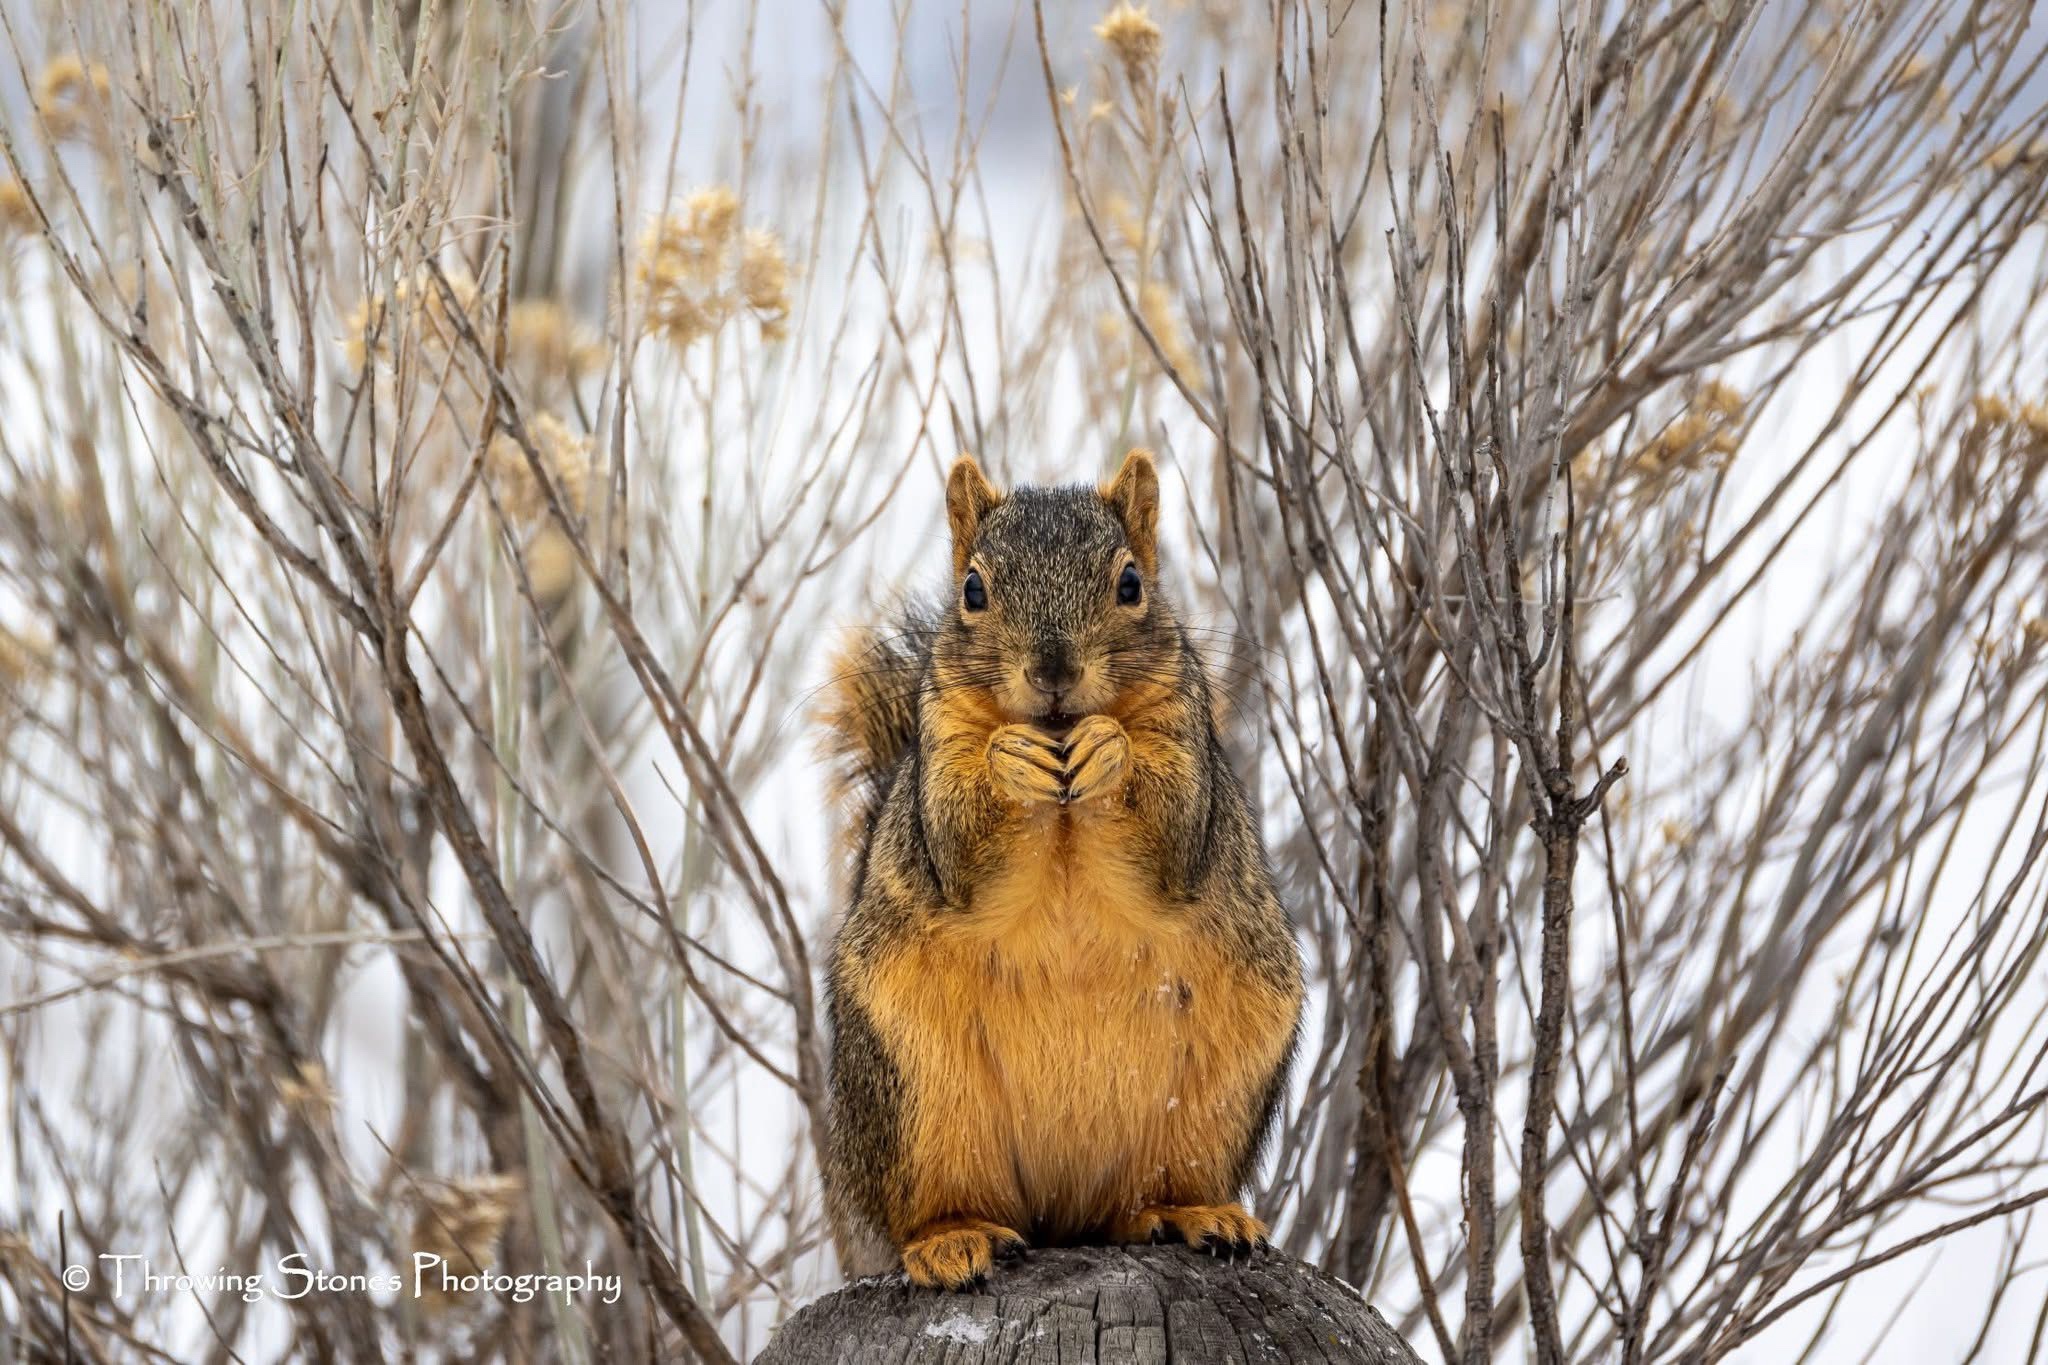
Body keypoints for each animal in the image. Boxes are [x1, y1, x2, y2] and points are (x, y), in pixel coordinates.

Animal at [815, 450, 1294, 1293]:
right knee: (935, 1202)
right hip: (916, 1095)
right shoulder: (940, 752)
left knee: (1135, 1202)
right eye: (973, 590)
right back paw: (954, 1239)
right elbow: (960, 845)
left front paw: (1109, 748)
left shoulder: (1185, 735)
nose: (1053, 670)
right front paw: (1011, 760)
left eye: (1131, 583)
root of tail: (1059, 1216)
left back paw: (1191, 1213)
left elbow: (1172, 830)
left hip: (1217, 1093)